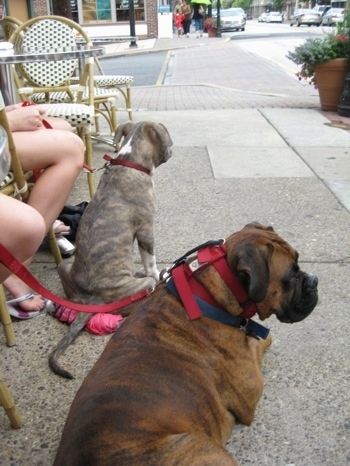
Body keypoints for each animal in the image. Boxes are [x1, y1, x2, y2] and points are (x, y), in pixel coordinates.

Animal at [50, 120, 173, 378]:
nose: (171, 150)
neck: (130, 160)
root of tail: (88, 301)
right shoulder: (146, 230)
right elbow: (150, 261)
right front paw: (157, 272)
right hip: (135, 289)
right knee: (136, 297)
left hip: (65, 265)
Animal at [53, 224, 318, 464]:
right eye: (292, 275)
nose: (314, 280)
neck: (209, 294)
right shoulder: (250, 393)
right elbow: (259, 342)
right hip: (204, 448)